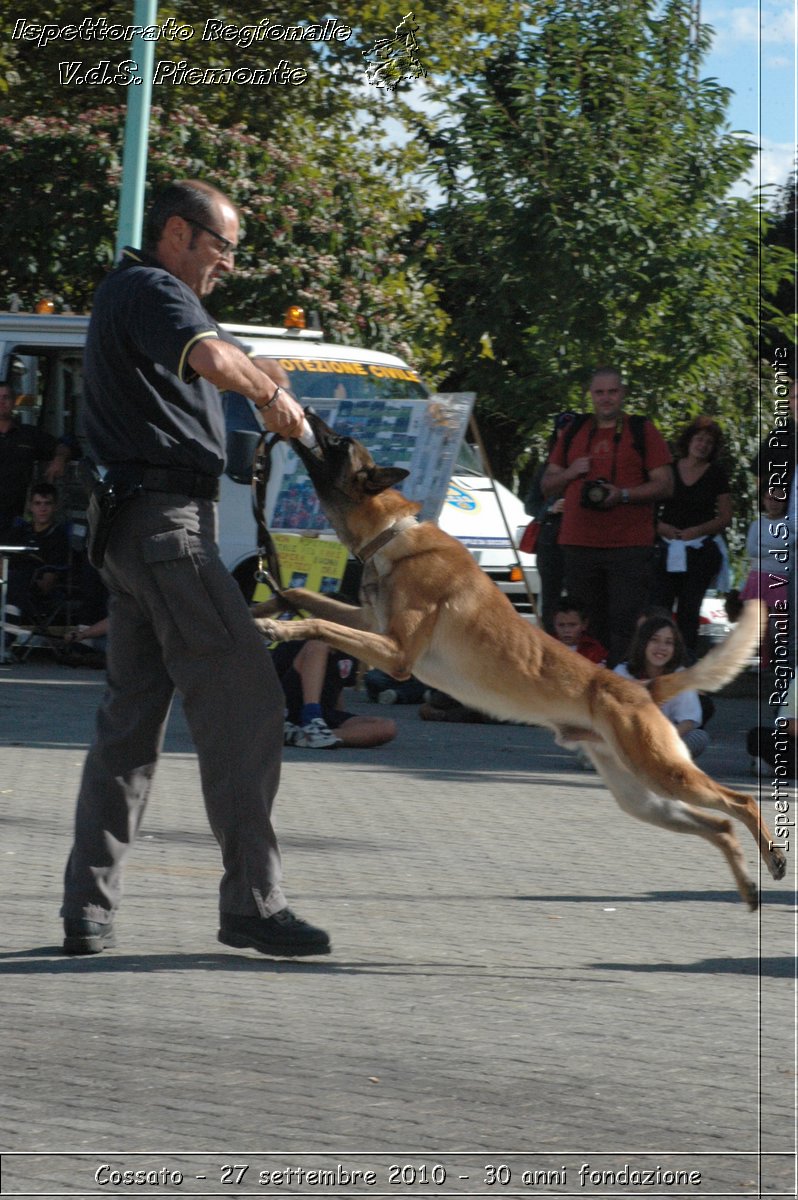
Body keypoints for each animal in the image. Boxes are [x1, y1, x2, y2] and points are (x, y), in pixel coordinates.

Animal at [255, 412, 782, 907]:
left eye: (338, 442)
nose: (303, 412)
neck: (391, 535)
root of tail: (640, 685)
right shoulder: (370, 624)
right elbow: (302, 595)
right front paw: (262, 602)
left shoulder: (396, 652)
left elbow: (318, 623)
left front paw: (281, 628)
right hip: (644, 798)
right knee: (719, 825)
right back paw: (748, 887)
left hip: (662, 773)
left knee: (740, 803)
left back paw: (773, 857)